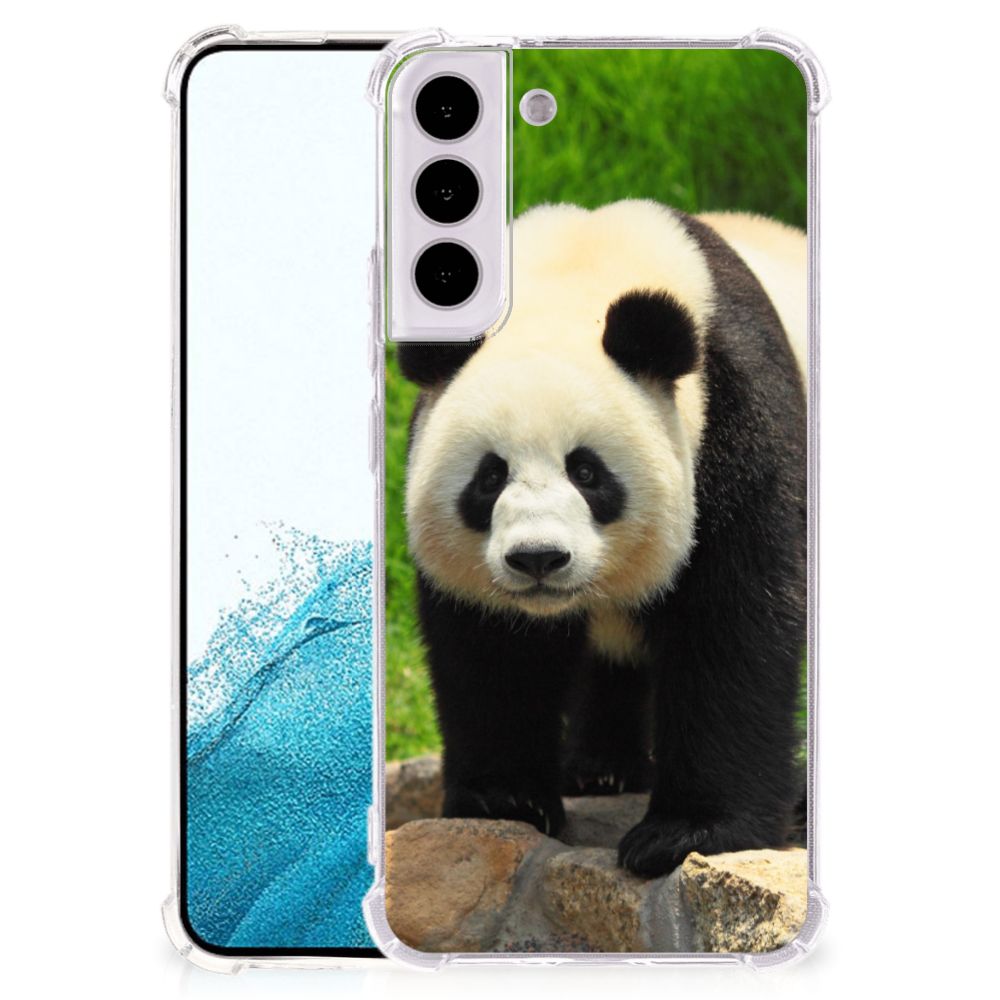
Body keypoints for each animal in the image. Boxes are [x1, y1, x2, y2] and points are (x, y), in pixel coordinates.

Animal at [396, 199, 807, 878]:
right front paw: (504, 801)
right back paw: (600, 769)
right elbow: (492, 649)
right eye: (489, 477)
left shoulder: (738, 419)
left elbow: (733, 622)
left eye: (587, 472)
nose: (538, 558)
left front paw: (686, 833)